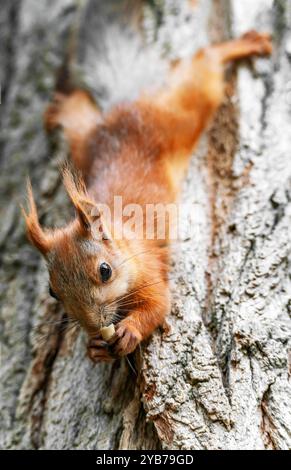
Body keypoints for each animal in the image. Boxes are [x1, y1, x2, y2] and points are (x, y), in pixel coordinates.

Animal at [21, 32, 272, 364]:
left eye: (105, 271)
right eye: (52, 291)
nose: (95, 326)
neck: (123, 241)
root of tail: (123, 112)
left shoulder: (149, 268)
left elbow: (158, 304)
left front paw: (129, 332)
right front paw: (95, 347)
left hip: (180, 115)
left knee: (204, 65)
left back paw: (245, 44)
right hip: (84, 142)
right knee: (79, 113)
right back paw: (57, 110)